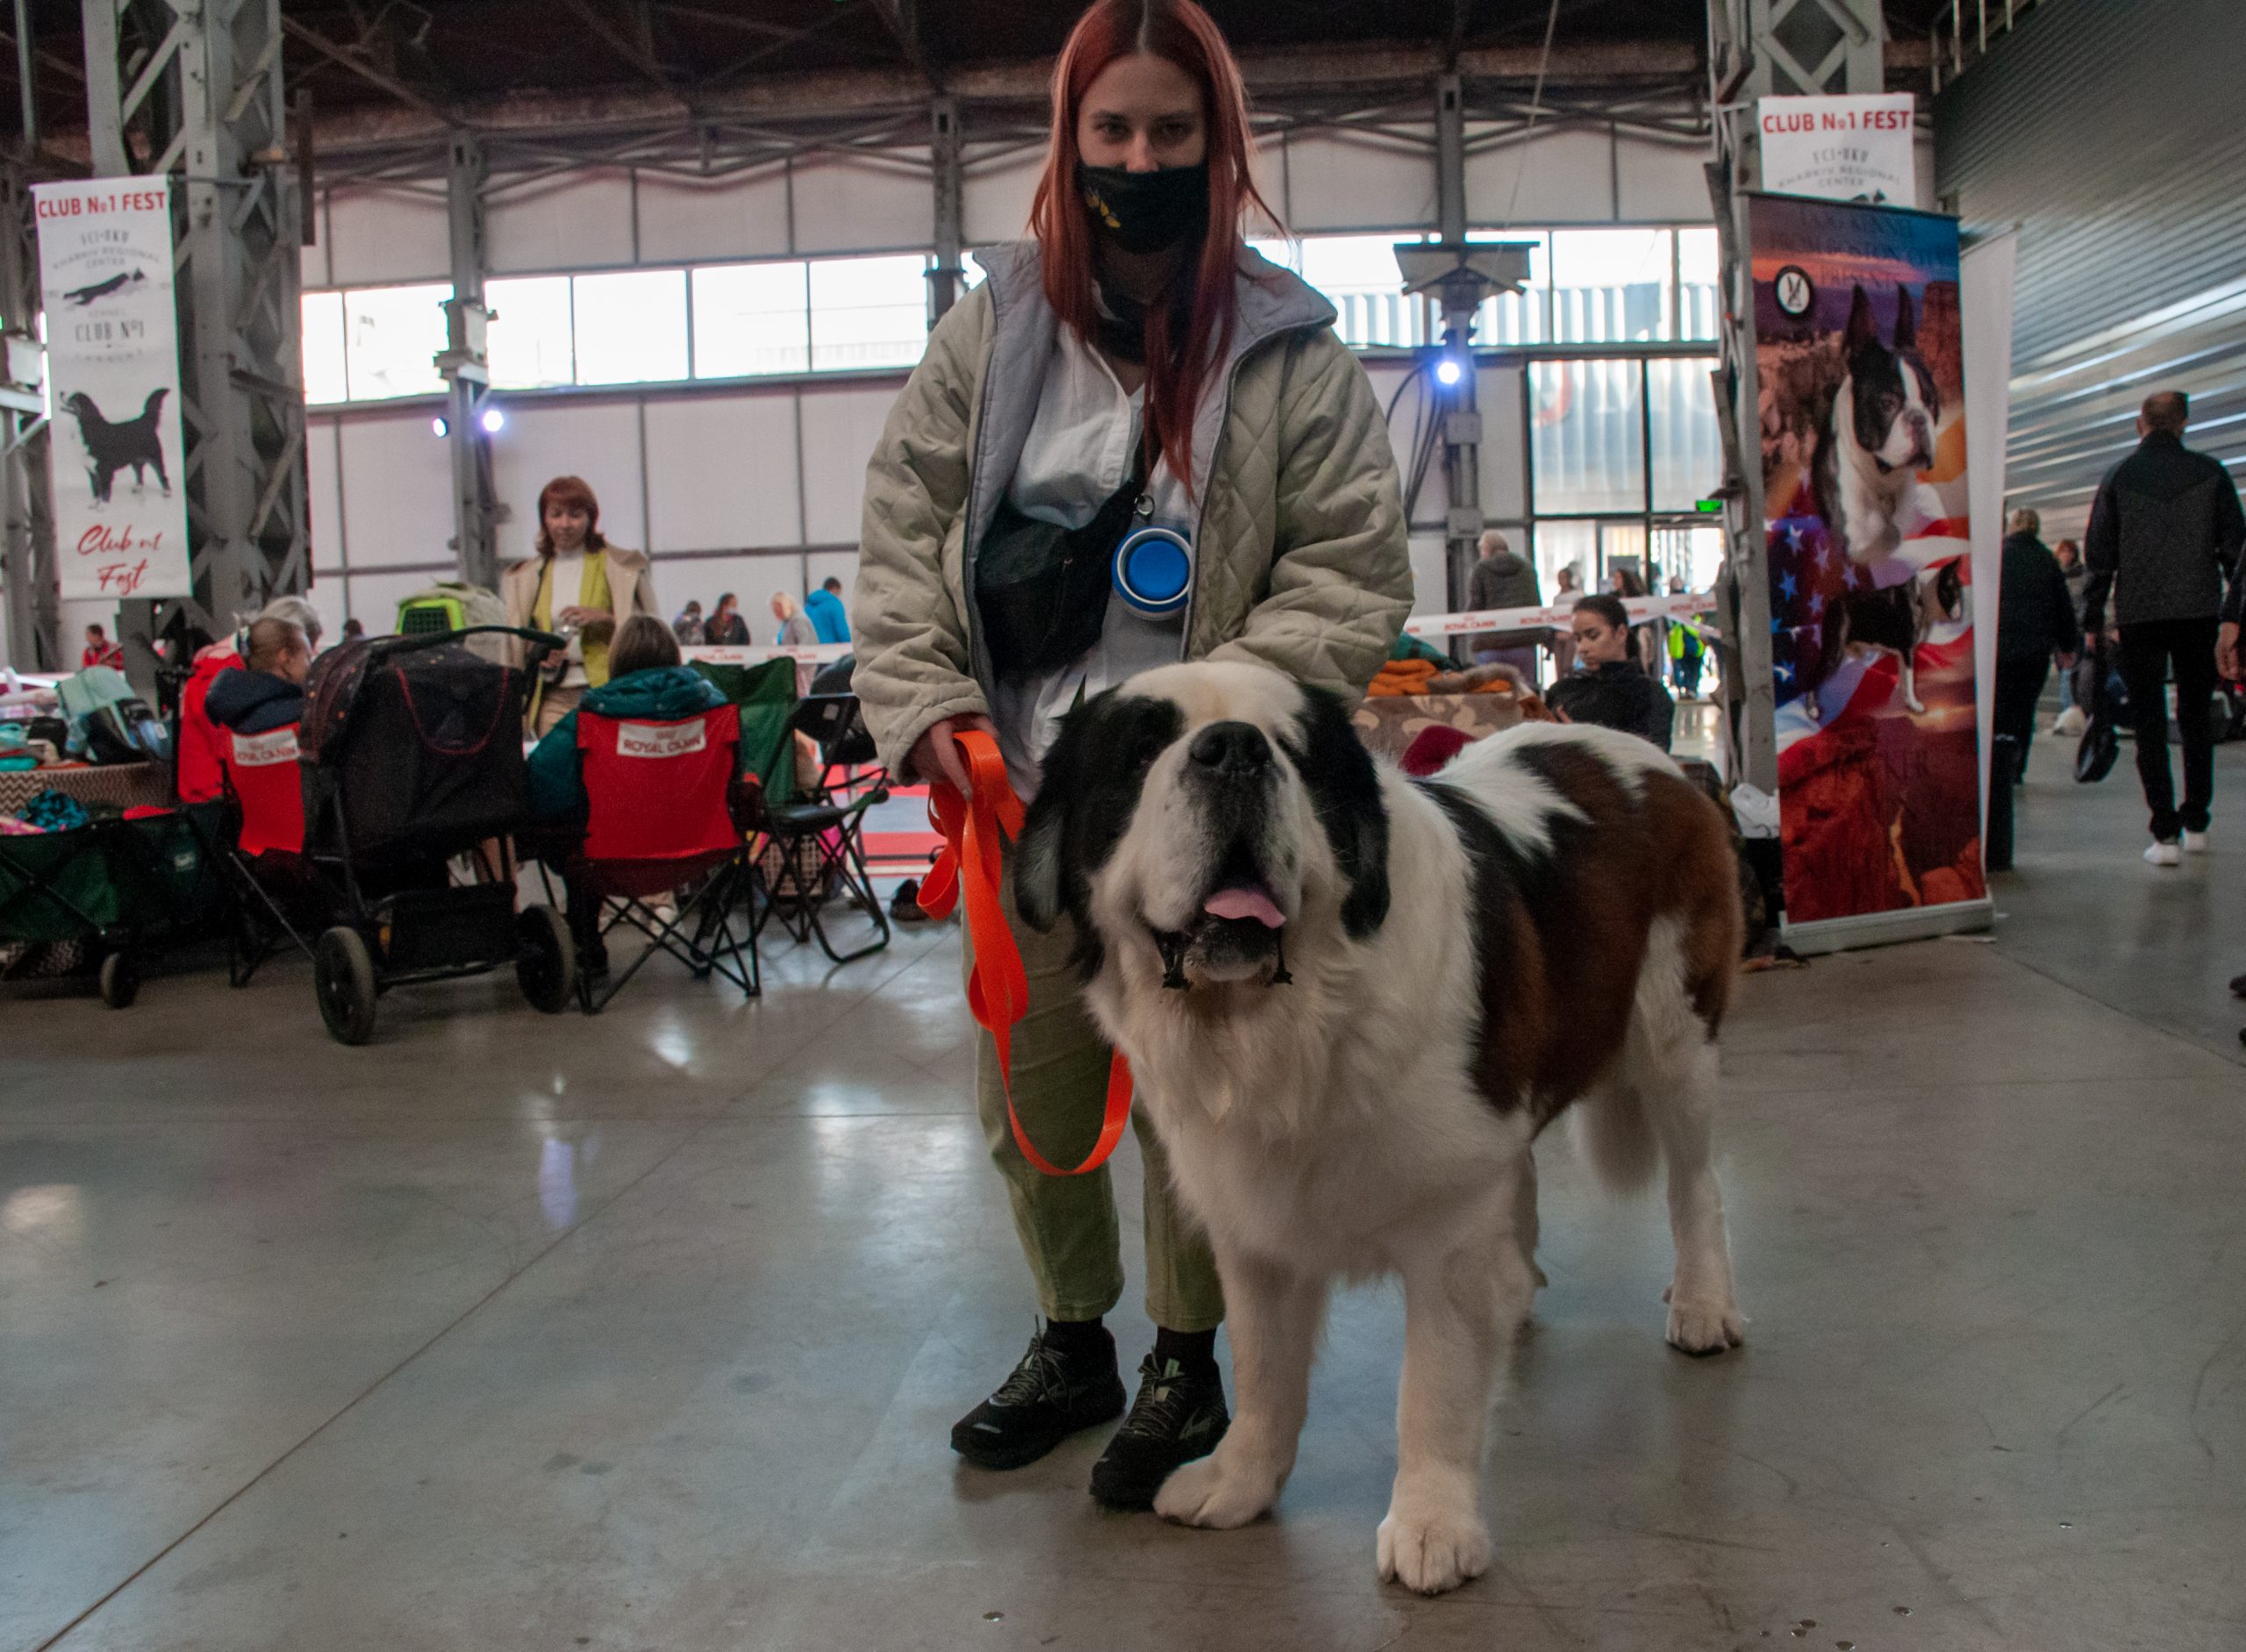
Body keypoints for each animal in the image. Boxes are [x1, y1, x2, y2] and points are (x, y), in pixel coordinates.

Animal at [1024, 660, 1751, 1598]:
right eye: (1143, 749)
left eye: (1292, 750)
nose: (1234, 751)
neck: (1282, 1024)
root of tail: (1655, 760)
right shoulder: (1252, 1228)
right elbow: (1264, 1368)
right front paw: (1239, 1480)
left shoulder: (1446, 1225)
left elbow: (1431, 1386)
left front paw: (1433, 1526)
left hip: (1674, 1033)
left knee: (1696, 1182)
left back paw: (1703, 1302)